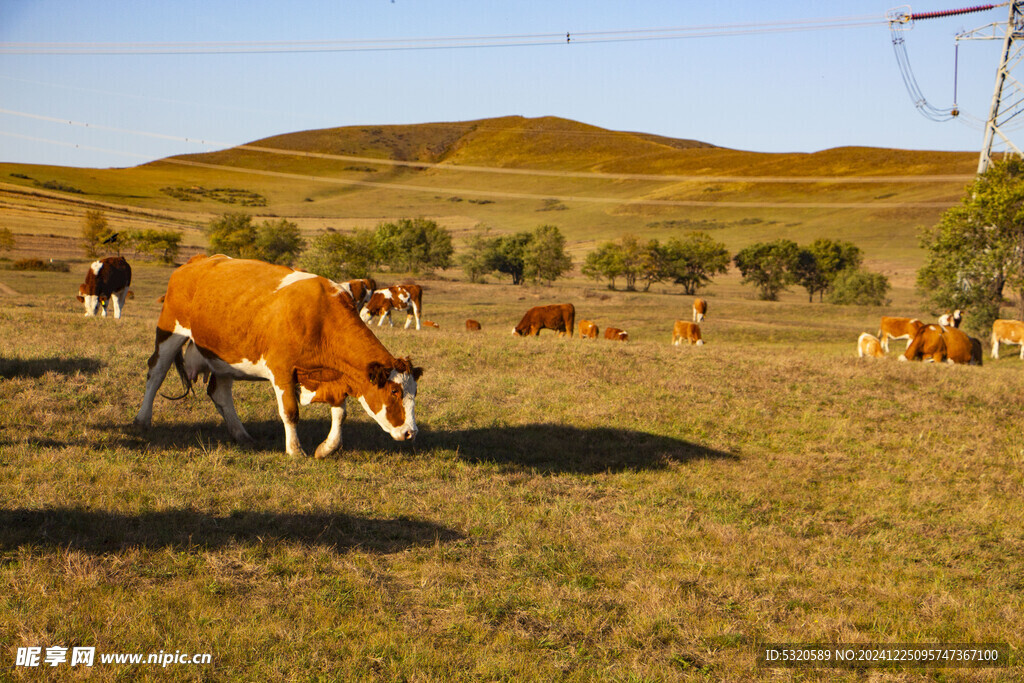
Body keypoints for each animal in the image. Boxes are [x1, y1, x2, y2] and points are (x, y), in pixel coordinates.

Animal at [134, 255, 421, 458]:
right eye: (394, 392)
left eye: (413, 393)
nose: (411, 433)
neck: (320, 316)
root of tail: (197, 261)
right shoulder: (282, 371)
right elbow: (290, 412)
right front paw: (295, 450)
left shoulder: (334, 376)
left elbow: (340, 413)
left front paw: (327, 448)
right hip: (170, 331)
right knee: (155, 373)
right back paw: (142, 419)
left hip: (225, 357)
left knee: (220, 393)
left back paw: (242, 435)